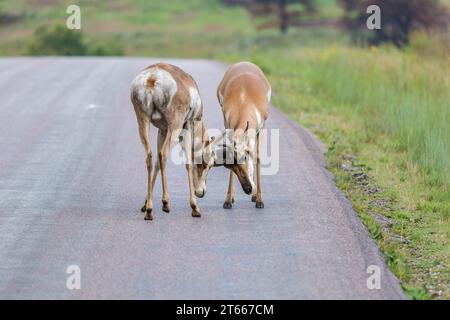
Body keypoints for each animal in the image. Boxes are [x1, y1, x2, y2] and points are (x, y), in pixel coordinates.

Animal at [129, 62, 215, 220]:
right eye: (207, 164)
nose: (201, 192)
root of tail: (152, 77)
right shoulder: (187, 125)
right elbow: (188, 163)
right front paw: (195, 207)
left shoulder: (162, 130)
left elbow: (157, 164)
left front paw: (145, 203)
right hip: (175, 126)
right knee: (163, 154)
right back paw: (165, 203)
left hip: (143, 121)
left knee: (151, 156)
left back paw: (149, 210)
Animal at [217, 62, 270, 210]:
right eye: (229, 166)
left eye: (244, 157)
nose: (247, 189)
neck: (243, 98)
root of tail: (245, 63)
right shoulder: (228, 126)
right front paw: (228, 200)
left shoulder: (261, 129)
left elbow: (257, 158)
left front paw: (259, 200)